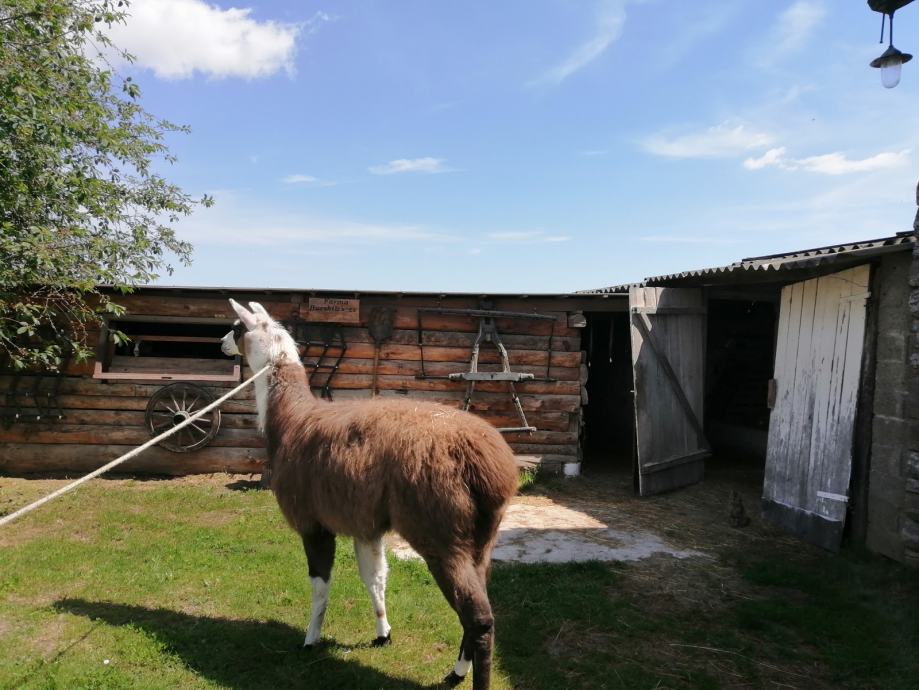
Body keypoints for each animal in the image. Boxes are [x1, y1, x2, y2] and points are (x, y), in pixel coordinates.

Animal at [222, 299, 518, 689]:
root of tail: (488, 463)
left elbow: (320, 585)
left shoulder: (313, 521)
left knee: (480, 617)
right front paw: (383, 633)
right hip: (482, 536)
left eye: (236, 327)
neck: (290, 421)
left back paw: (460, 674)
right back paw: (456, 669)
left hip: (440, 530)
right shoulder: (364, 524)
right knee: (478, 601)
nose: (221, 343)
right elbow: (375, 579)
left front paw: (310, 640)